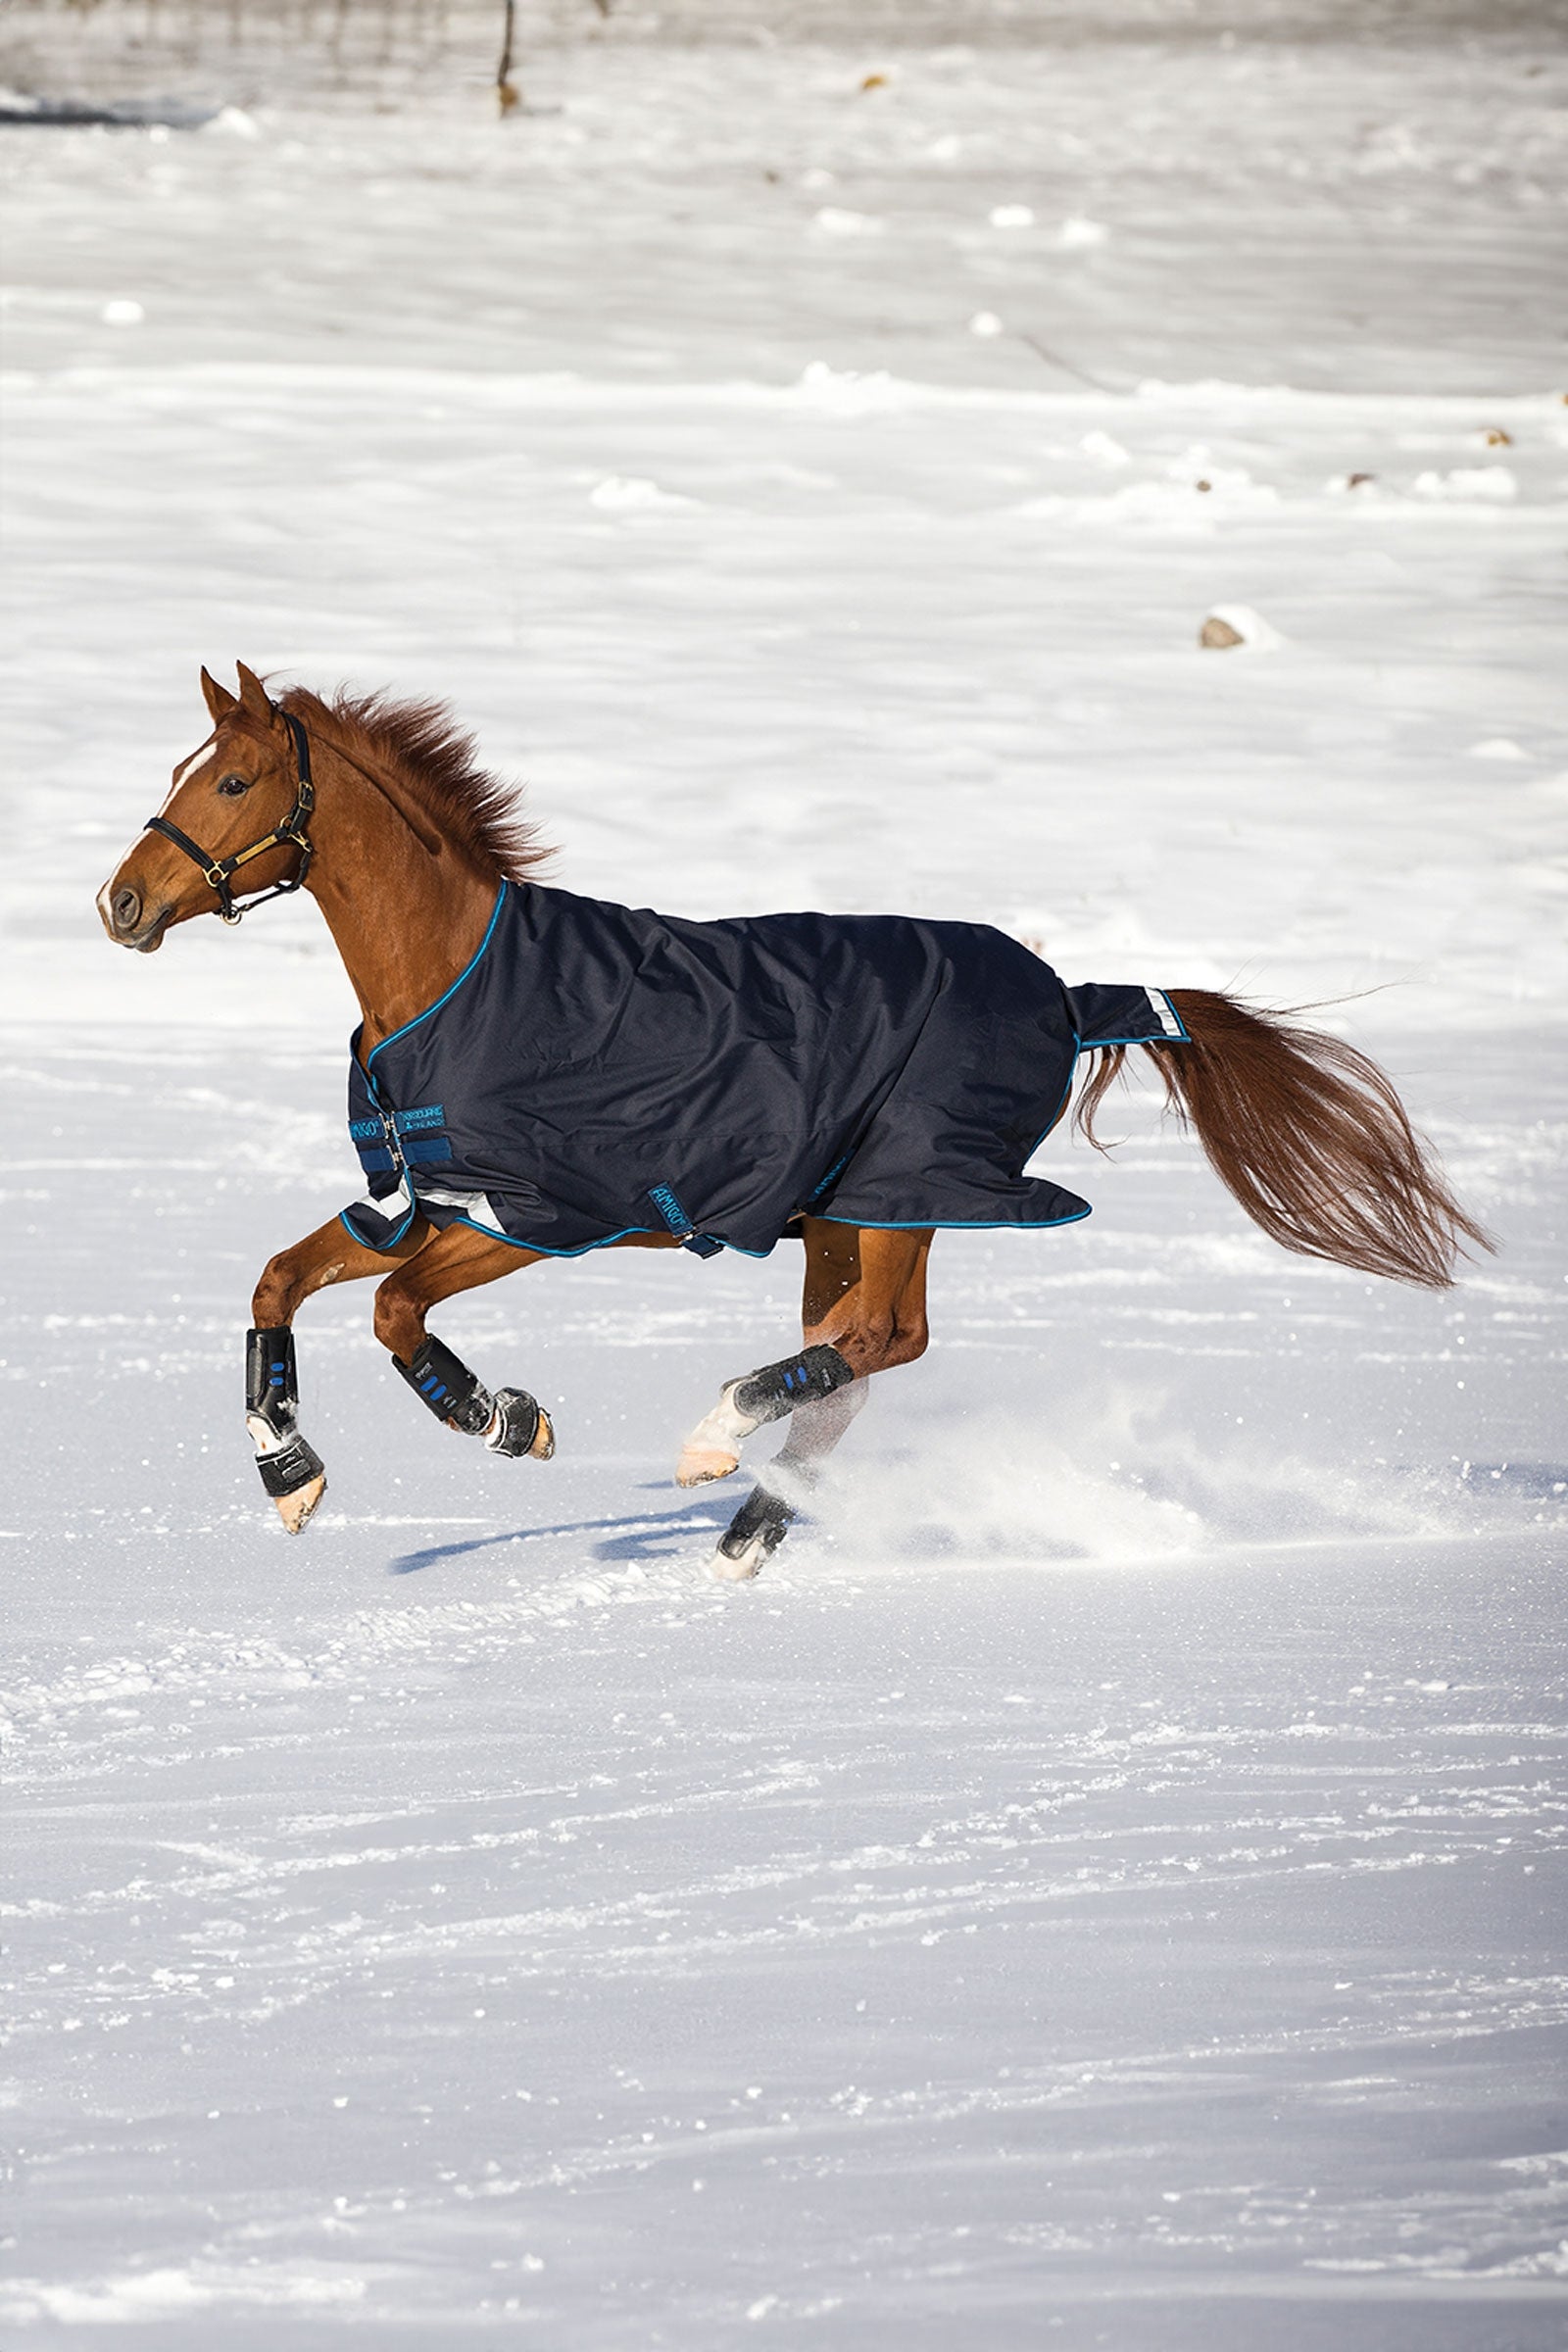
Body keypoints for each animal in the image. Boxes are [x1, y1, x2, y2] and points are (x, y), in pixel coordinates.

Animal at [98, 664, 1489, 1578]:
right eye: (178, 772)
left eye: (232, 778)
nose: (120, 904)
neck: (457, 979)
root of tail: (1064, 995)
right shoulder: (418, 1200)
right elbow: (281, 1280)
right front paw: (292, 1481)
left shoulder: (531, 1216)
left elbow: (393, 1313)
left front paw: (506, 1421)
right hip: (839, 1210)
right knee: (852, 1360)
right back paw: (744, 1526)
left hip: (904, 1192)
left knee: (880, 1340)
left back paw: (717, 1444)